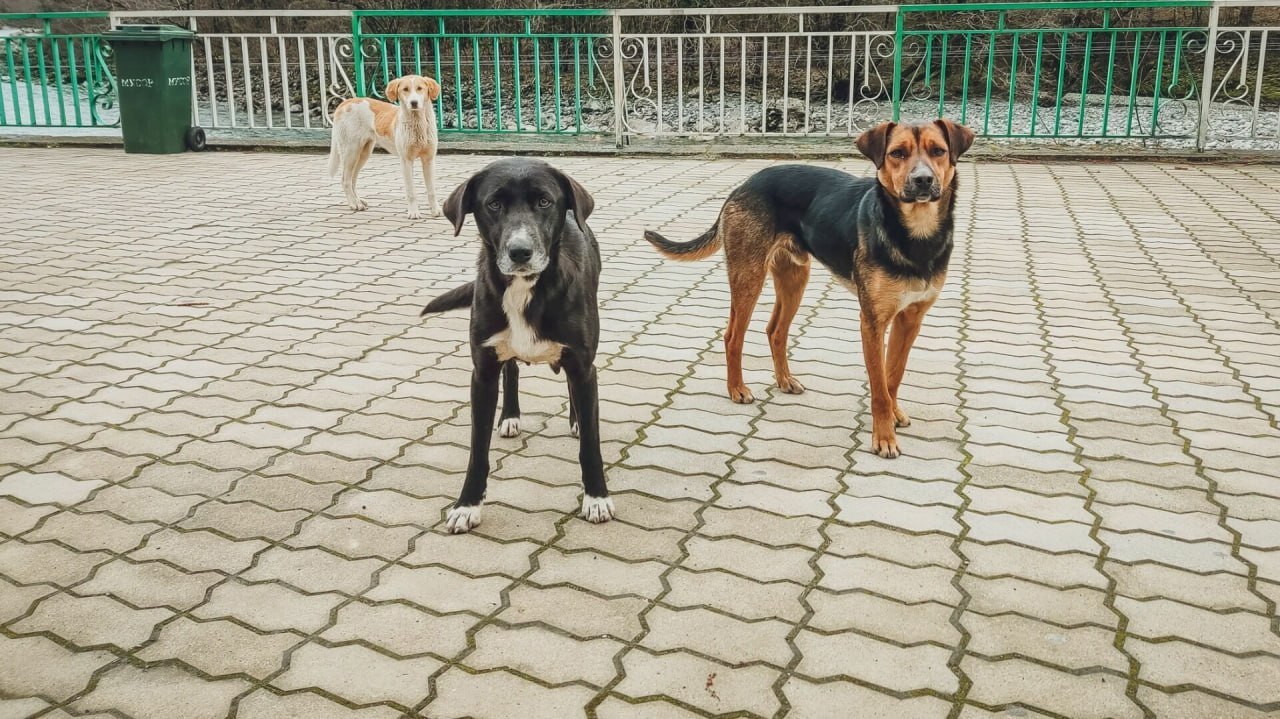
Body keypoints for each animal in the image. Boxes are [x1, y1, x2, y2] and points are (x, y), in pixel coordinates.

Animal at [327, 73, 442, 220]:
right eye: (405, 89)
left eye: (420, 88)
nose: (414, 102)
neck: (418, 123)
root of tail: (346, 102)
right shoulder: (406, 161)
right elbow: (411, 191)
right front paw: (413, 212)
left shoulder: (429, 160)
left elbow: (432, 190)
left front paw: (435, 211)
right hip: (351, 151)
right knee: (345, 180)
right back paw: (354, 204)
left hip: (363, 154)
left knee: (352, 179)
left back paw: (358, 200)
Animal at [417, 158, 611, 532]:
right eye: (494, 204)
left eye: (544, 202)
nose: (520, 251)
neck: (525, 288)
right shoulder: (482, 372)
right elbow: (477, 450)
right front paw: (467, 504)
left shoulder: (584, 365)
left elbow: (591, 445)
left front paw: (596, 497)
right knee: (512, 371)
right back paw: (510, 416)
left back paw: (576, 420)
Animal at [645, 117, 972, 452]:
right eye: (897, 153)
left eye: (938, 151)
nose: (923, 180)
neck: (915, 235)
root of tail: (744, 184)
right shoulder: (872, 321)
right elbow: (879, 386)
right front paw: (883, 437)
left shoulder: (910, 318)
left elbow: (892, 376)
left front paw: (893, 416)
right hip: (748, 276)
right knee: (732, 335)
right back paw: (737, 388)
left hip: (794, 278)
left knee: (775, 331)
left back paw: (784, 380)